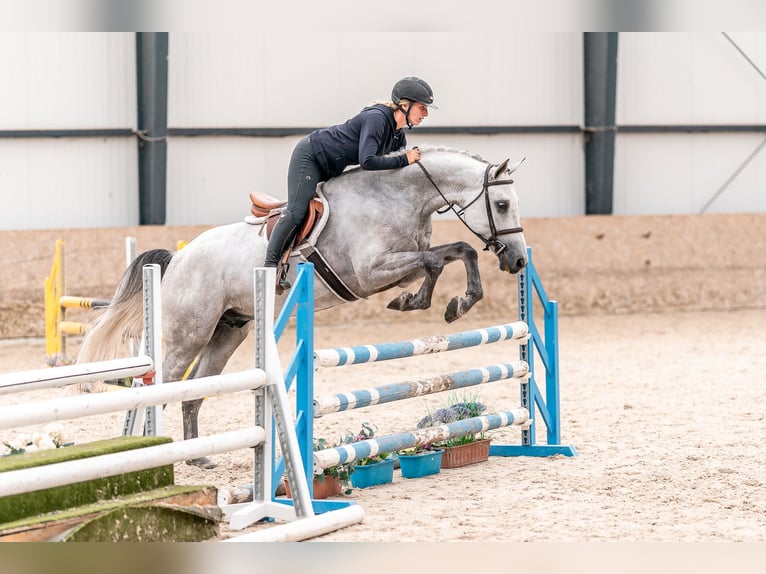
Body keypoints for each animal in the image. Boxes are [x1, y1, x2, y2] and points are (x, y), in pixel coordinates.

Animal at [76, 145, 528, 468]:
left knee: (194, 392)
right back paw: (155, 454)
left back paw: (198, 458)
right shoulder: (371, 272)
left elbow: (455, 251)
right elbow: (436, 260)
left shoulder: (398, 265)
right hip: (190, 334)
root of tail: (178, 258)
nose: (518, 261)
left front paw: (449, 303)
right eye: (502, 205)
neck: (398, 197)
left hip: (228, 332)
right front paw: (427, 302)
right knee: (162, 389)